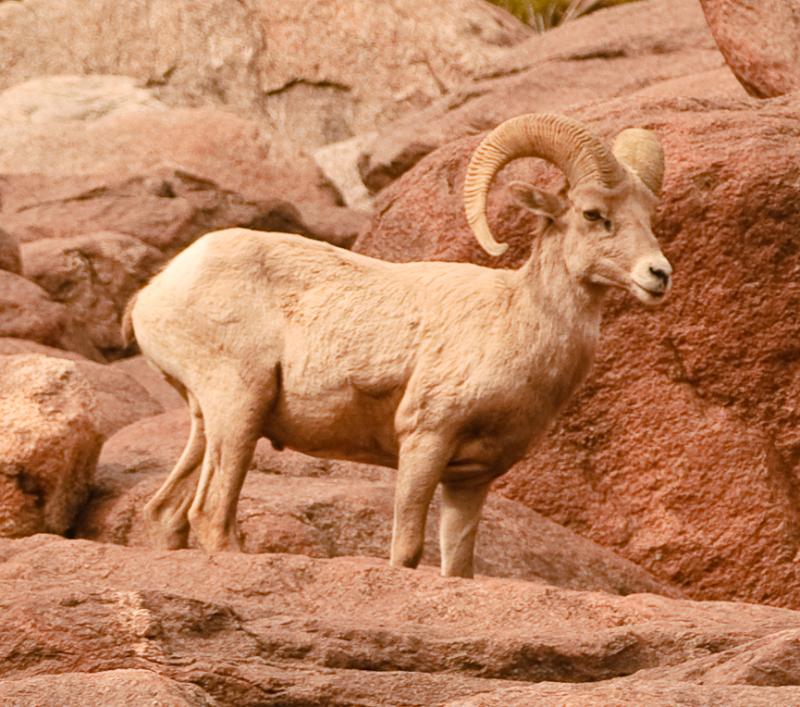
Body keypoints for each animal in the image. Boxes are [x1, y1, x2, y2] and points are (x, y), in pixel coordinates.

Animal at [126, 113, 672, 578]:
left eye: (648, 215)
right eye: (593, 213)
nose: (658, 274)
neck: (516, 318)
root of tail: (153, 293)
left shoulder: (470, 479)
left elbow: (458, 567)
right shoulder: (424, 441)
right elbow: (406, 551)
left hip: (209, 421)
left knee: (166, 511)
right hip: (238, 406)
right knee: (211, 515)